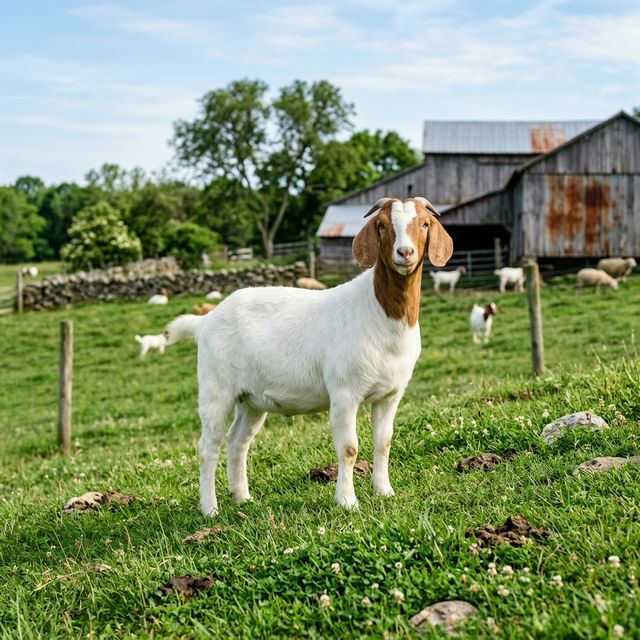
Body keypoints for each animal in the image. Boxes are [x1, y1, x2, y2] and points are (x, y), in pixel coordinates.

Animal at [165, 197, 453, 516]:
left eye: (425, 224)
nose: (405, 253)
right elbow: (349, 447)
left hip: (251, 399)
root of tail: (206, 321)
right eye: (381, 225)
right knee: (208, 446)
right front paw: (347, 501)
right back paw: (209, 508)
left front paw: (384, 491)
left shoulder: (391, 394)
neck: (379, 313)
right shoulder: (344, 392)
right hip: (216, 388)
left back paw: (241, 496)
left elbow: (384, 442)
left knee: (237, 440)